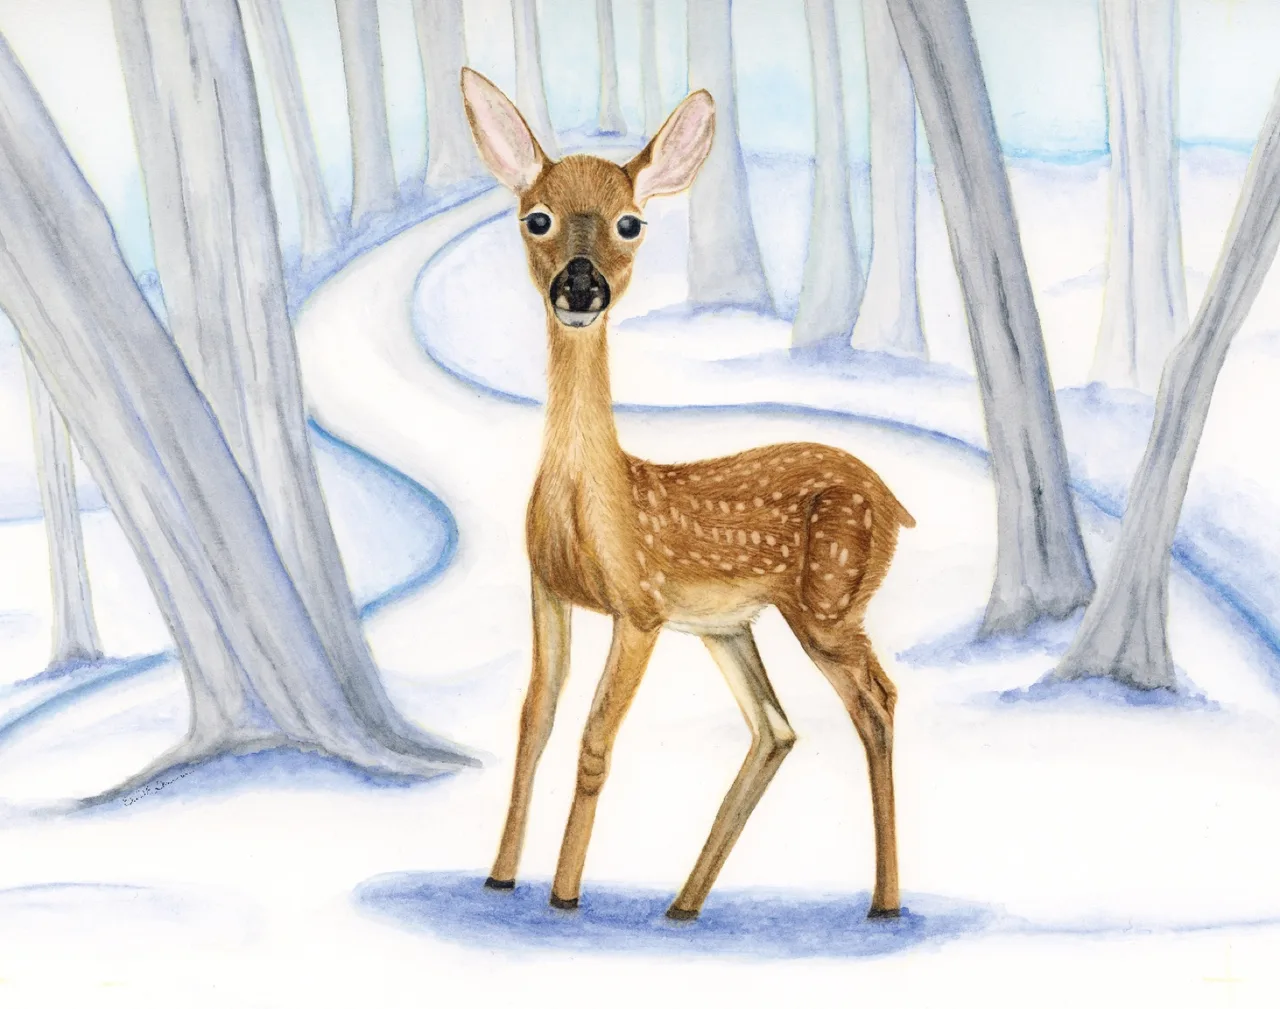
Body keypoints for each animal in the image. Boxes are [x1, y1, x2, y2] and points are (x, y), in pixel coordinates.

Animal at [460, 67, 915, 921]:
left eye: (630, 222)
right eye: (536, 217)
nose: (581, 284)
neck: (591, 503)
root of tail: (895, 501)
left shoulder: (639, 605)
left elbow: (594, 740)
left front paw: (563, 893)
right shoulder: (547, 588)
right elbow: (534, 721)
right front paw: (501, 875)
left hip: (830, 599)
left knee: (877, 699)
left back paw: (885, 899)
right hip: (730, 626)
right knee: (776, 727)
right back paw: (683, 901)